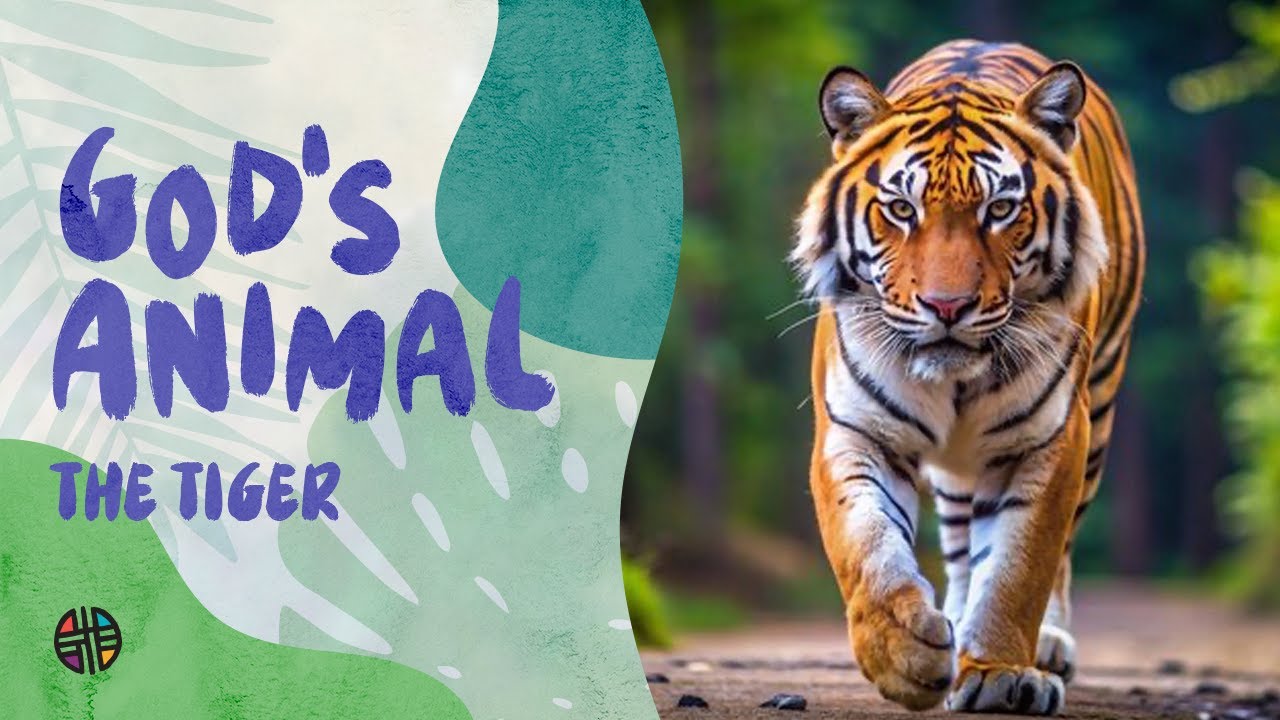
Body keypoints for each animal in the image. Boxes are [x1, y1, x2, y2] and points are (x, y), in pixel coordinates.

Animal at [791, 40, 1143, 715]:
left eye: (1000, 209)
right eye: (901, 209)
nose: (947, 306)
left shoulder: (1048, 440)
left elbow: (1018, 566)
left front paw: (999, 673)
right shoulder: (856, 431)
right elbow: (868, 548)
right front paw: (904, 653)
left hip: (1102, 403)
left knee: (1056, 554)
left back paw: (1047, 644)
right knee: (957, 547)